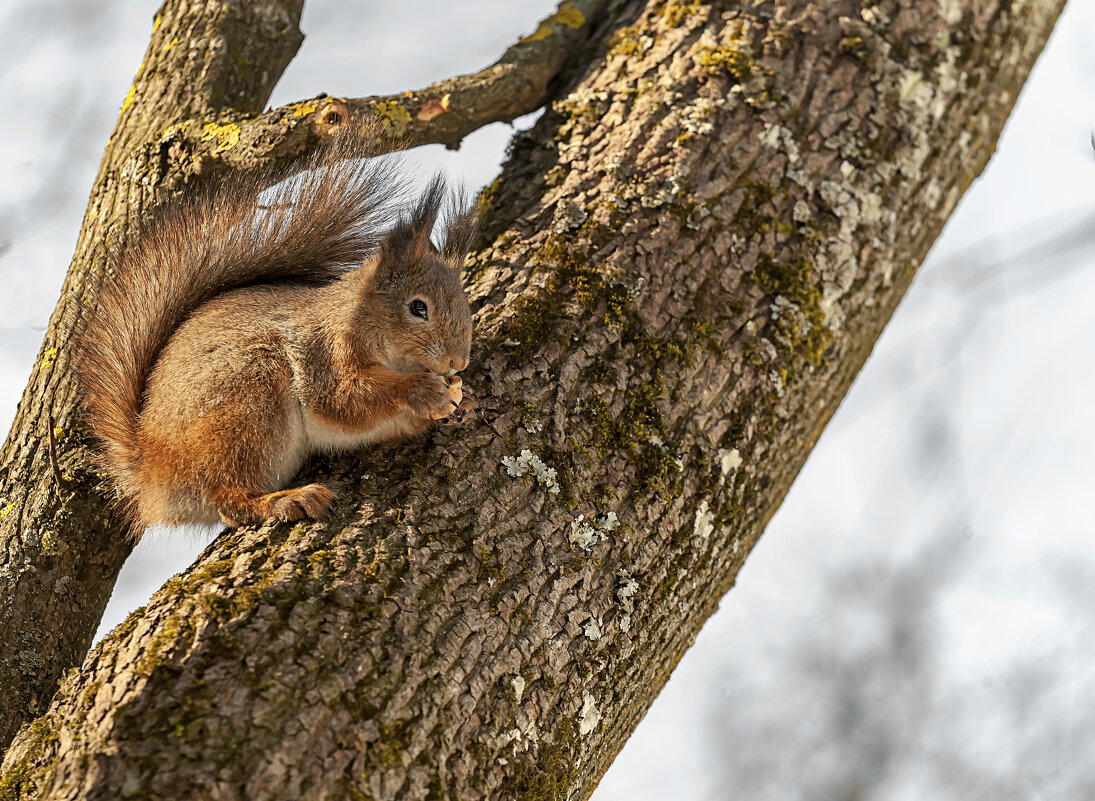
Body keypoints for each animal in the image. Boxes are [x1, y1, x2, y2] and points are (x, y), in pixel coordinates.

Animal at [72, 132, 475, 531]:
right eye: (418, 308)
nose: (459, 361)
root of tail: (151, 468)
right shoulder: (326, 354)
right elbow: (346, 398)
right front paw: (420, 390)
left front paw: (458, 399)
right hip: (246, 400)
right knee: (230, 500)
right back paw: (284, 500)